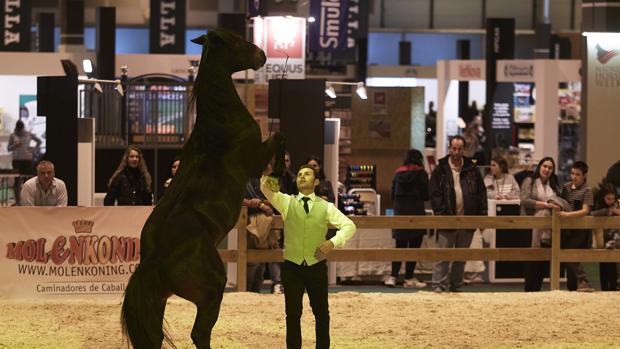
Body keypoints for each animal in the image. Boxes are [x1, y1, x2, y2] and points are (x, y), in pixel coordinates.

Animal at [121, 29, 286, 348]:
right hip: (212, 289)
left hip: (158, 301)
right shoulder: (255, 161)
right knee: (199, 333)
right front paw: (280, 172)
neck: (220, 122)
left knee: (154, 338)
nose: (261, 54)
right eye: (235, 41)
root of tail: (154, 259)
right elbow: (279, 137)